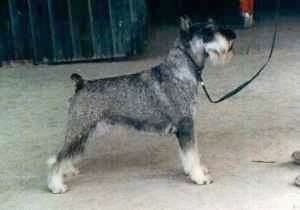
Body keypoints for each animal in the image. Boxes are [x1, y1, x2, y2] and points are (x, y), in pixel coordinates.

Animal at [47, 16, 236, 194]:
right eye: (208, 31)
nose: (232, 35)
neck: (180, 71)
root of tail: (81, 84)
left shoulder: (183, 130)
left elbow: (187, 154)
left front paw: (192, 171)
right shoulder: (186, 125)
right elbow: (192, 153)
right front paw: (199, 177)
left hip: (84, 133)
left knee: (66, 155)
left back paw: (67, 171)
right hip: (80, 131)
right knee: (59, 158)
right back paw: (57, 185)